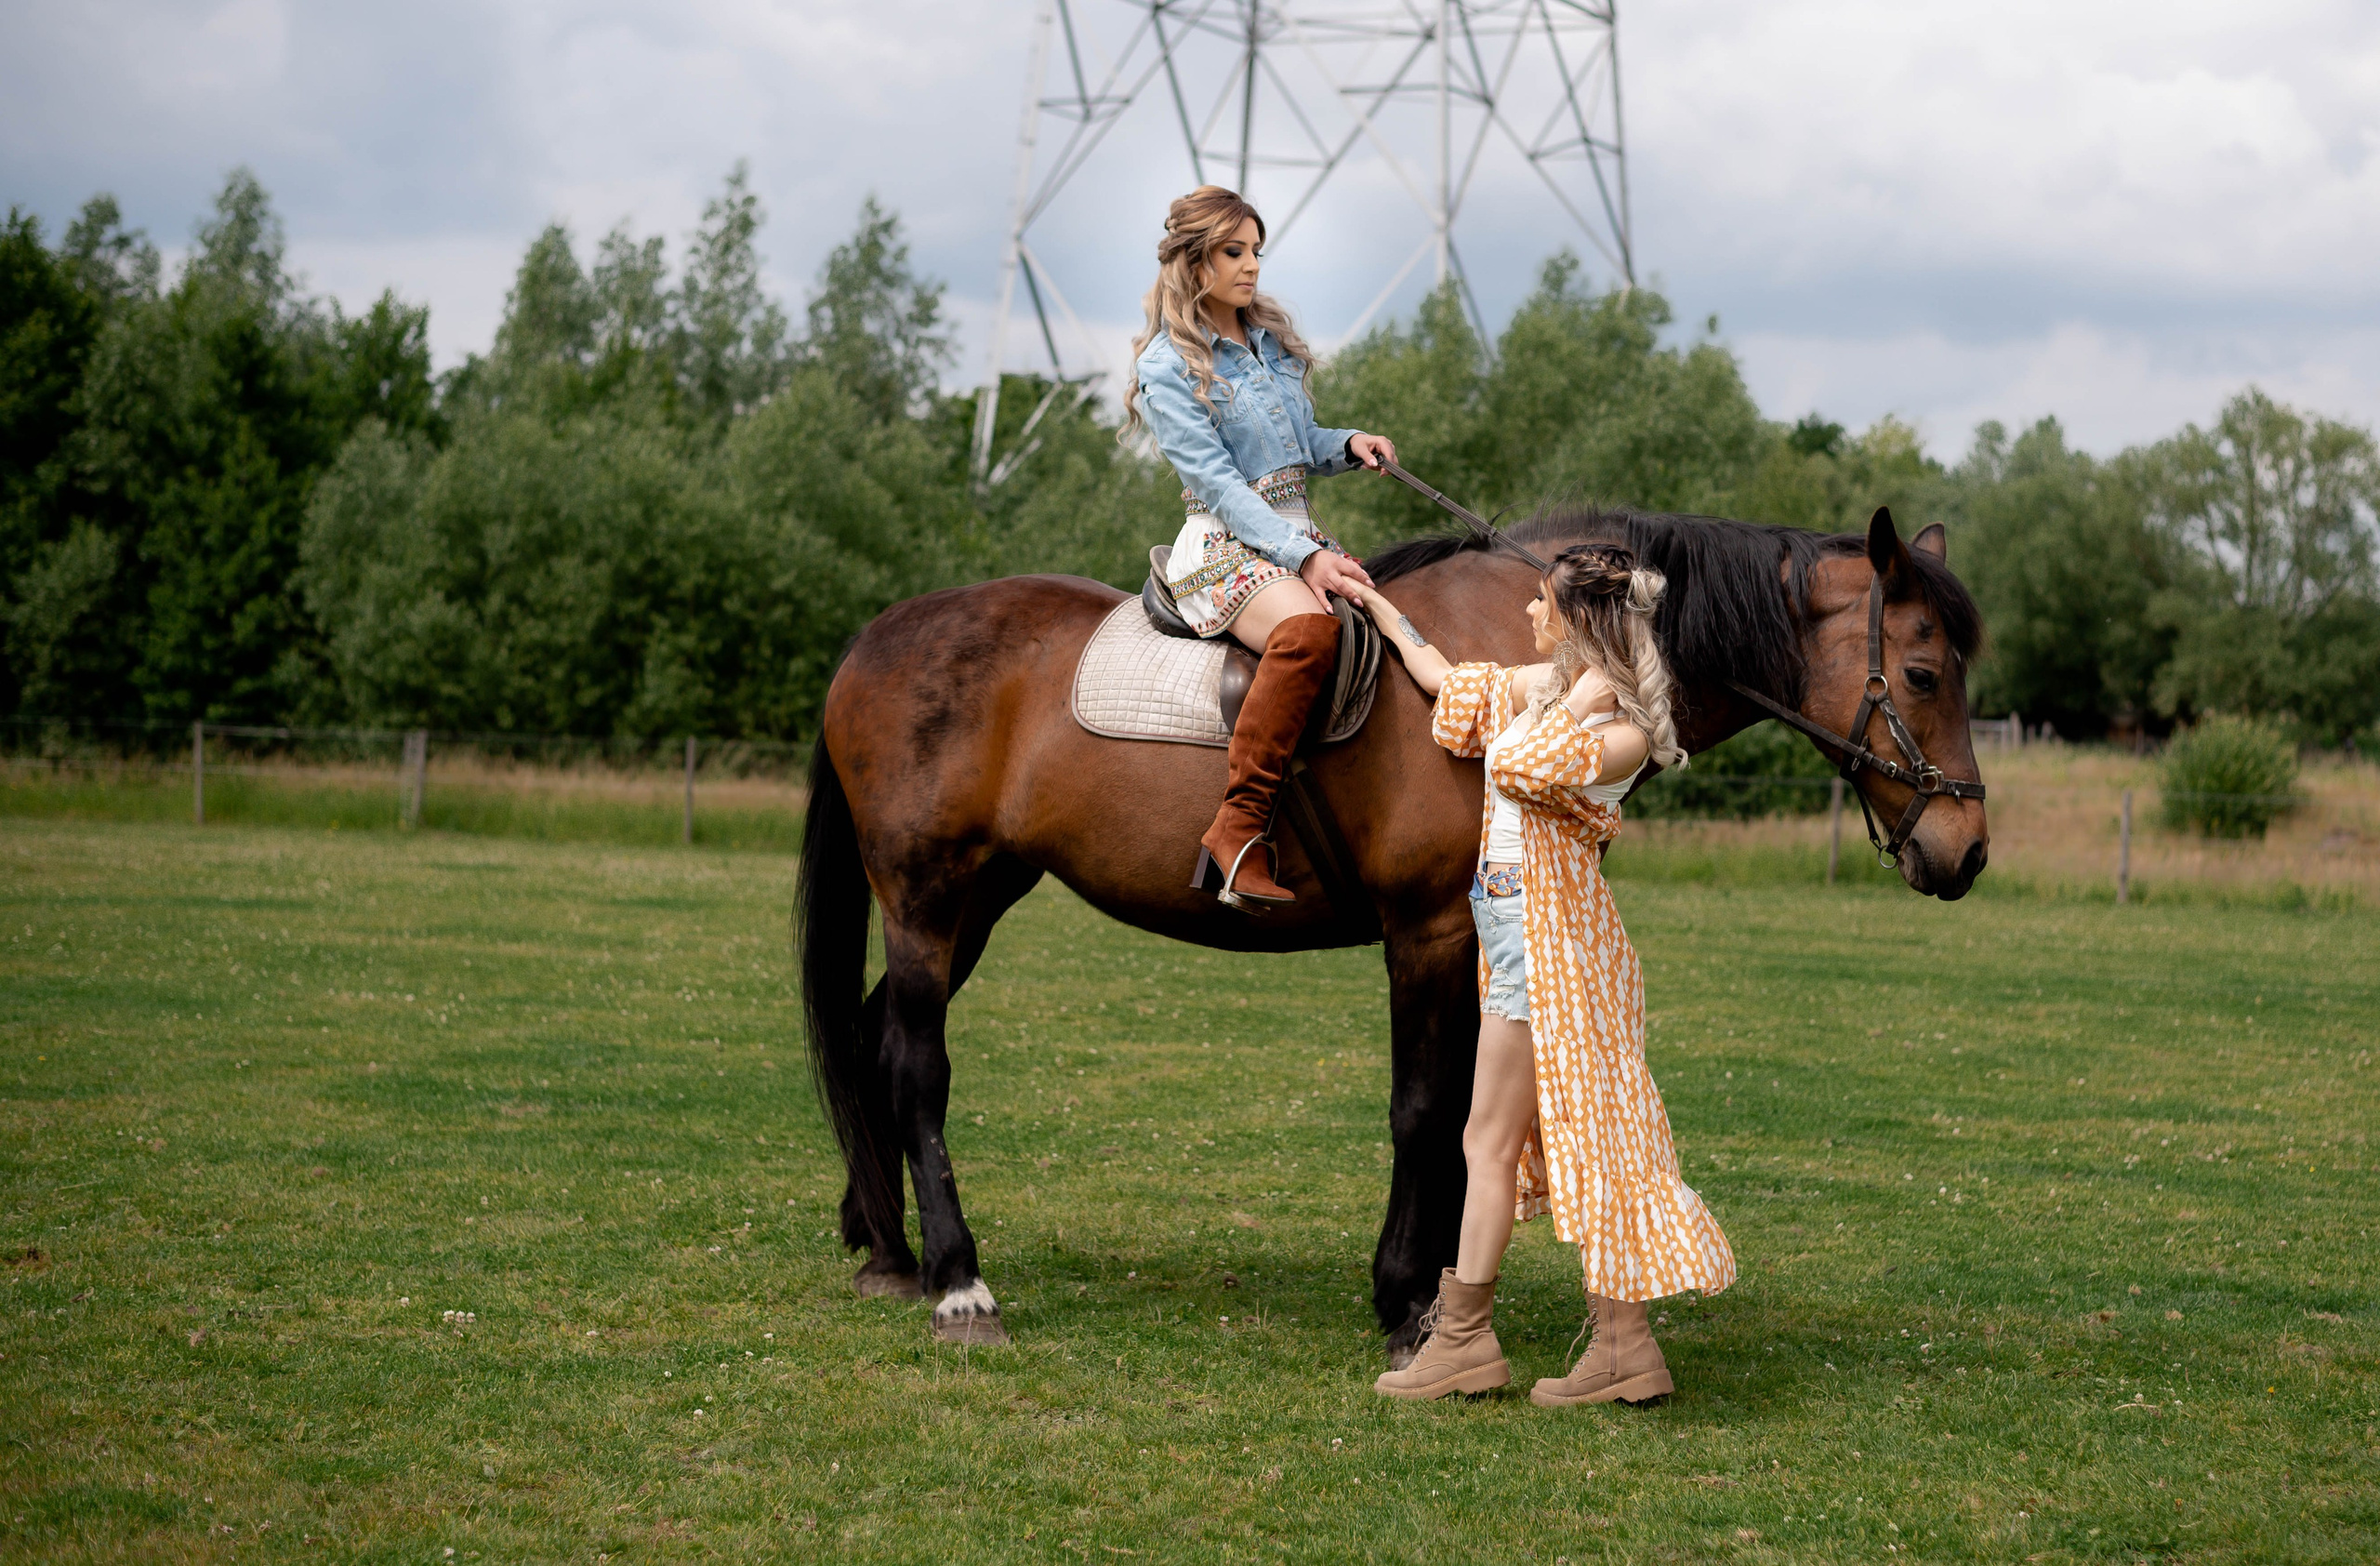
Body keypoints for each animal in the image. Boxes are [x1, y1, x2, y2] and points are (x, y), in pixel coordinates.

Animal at [798, 503, 1987, 1358]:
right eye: (1923, 673)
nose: (1968, 849)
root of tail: (877, 635)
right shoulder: (1426, 934)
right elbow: (1424, 1112)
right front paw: (1408, 1303)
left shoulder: (1481, 940)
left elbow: (1469, 1113)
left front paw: (1441, 1290)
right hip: (925, 895)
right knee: (916, 1065)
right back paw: (958, 1282)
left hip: (977, 898)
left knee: (872, 1040)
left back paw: (890, 1248)